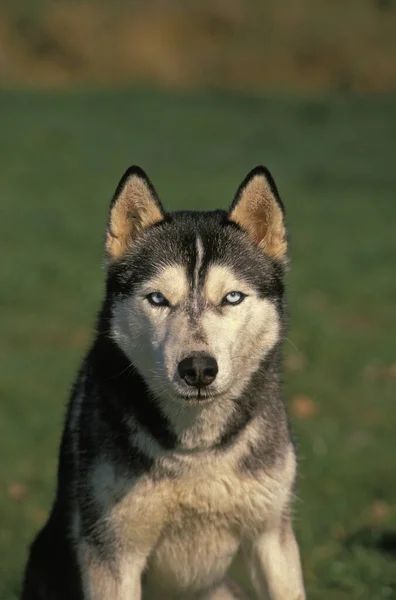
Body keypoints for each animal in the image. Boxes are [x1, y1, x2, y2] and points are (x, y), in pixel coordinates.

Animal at [21, 165, 304, 600]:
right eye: (157, 299)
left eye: (232, 297)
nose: (198, 369)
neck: (197, 450)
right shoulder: (112, 552)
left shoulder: (271, 538)